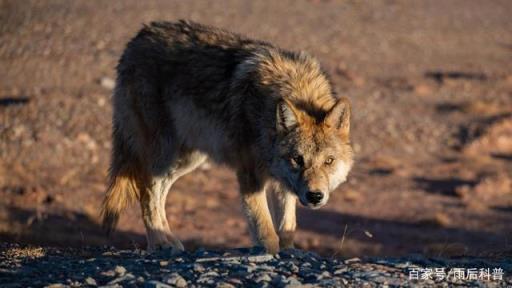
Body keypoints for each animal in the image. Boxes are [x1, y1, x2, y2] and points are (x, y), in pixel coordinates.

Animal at [101, 20, 354, 254]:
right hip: (164, 153)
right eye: (298, 159)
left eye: (329, 161)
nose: (315, 196)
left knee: (158, 193)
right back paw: (159, 243)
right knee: (147, 192)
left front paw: (289, 251)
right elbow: (266, 231)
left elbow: (286, 227)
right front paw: (269, 252)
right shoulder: (250, 174)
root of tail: (139, 36)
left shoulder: (282, 181)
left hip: (186, 160)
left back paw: (170, 241)